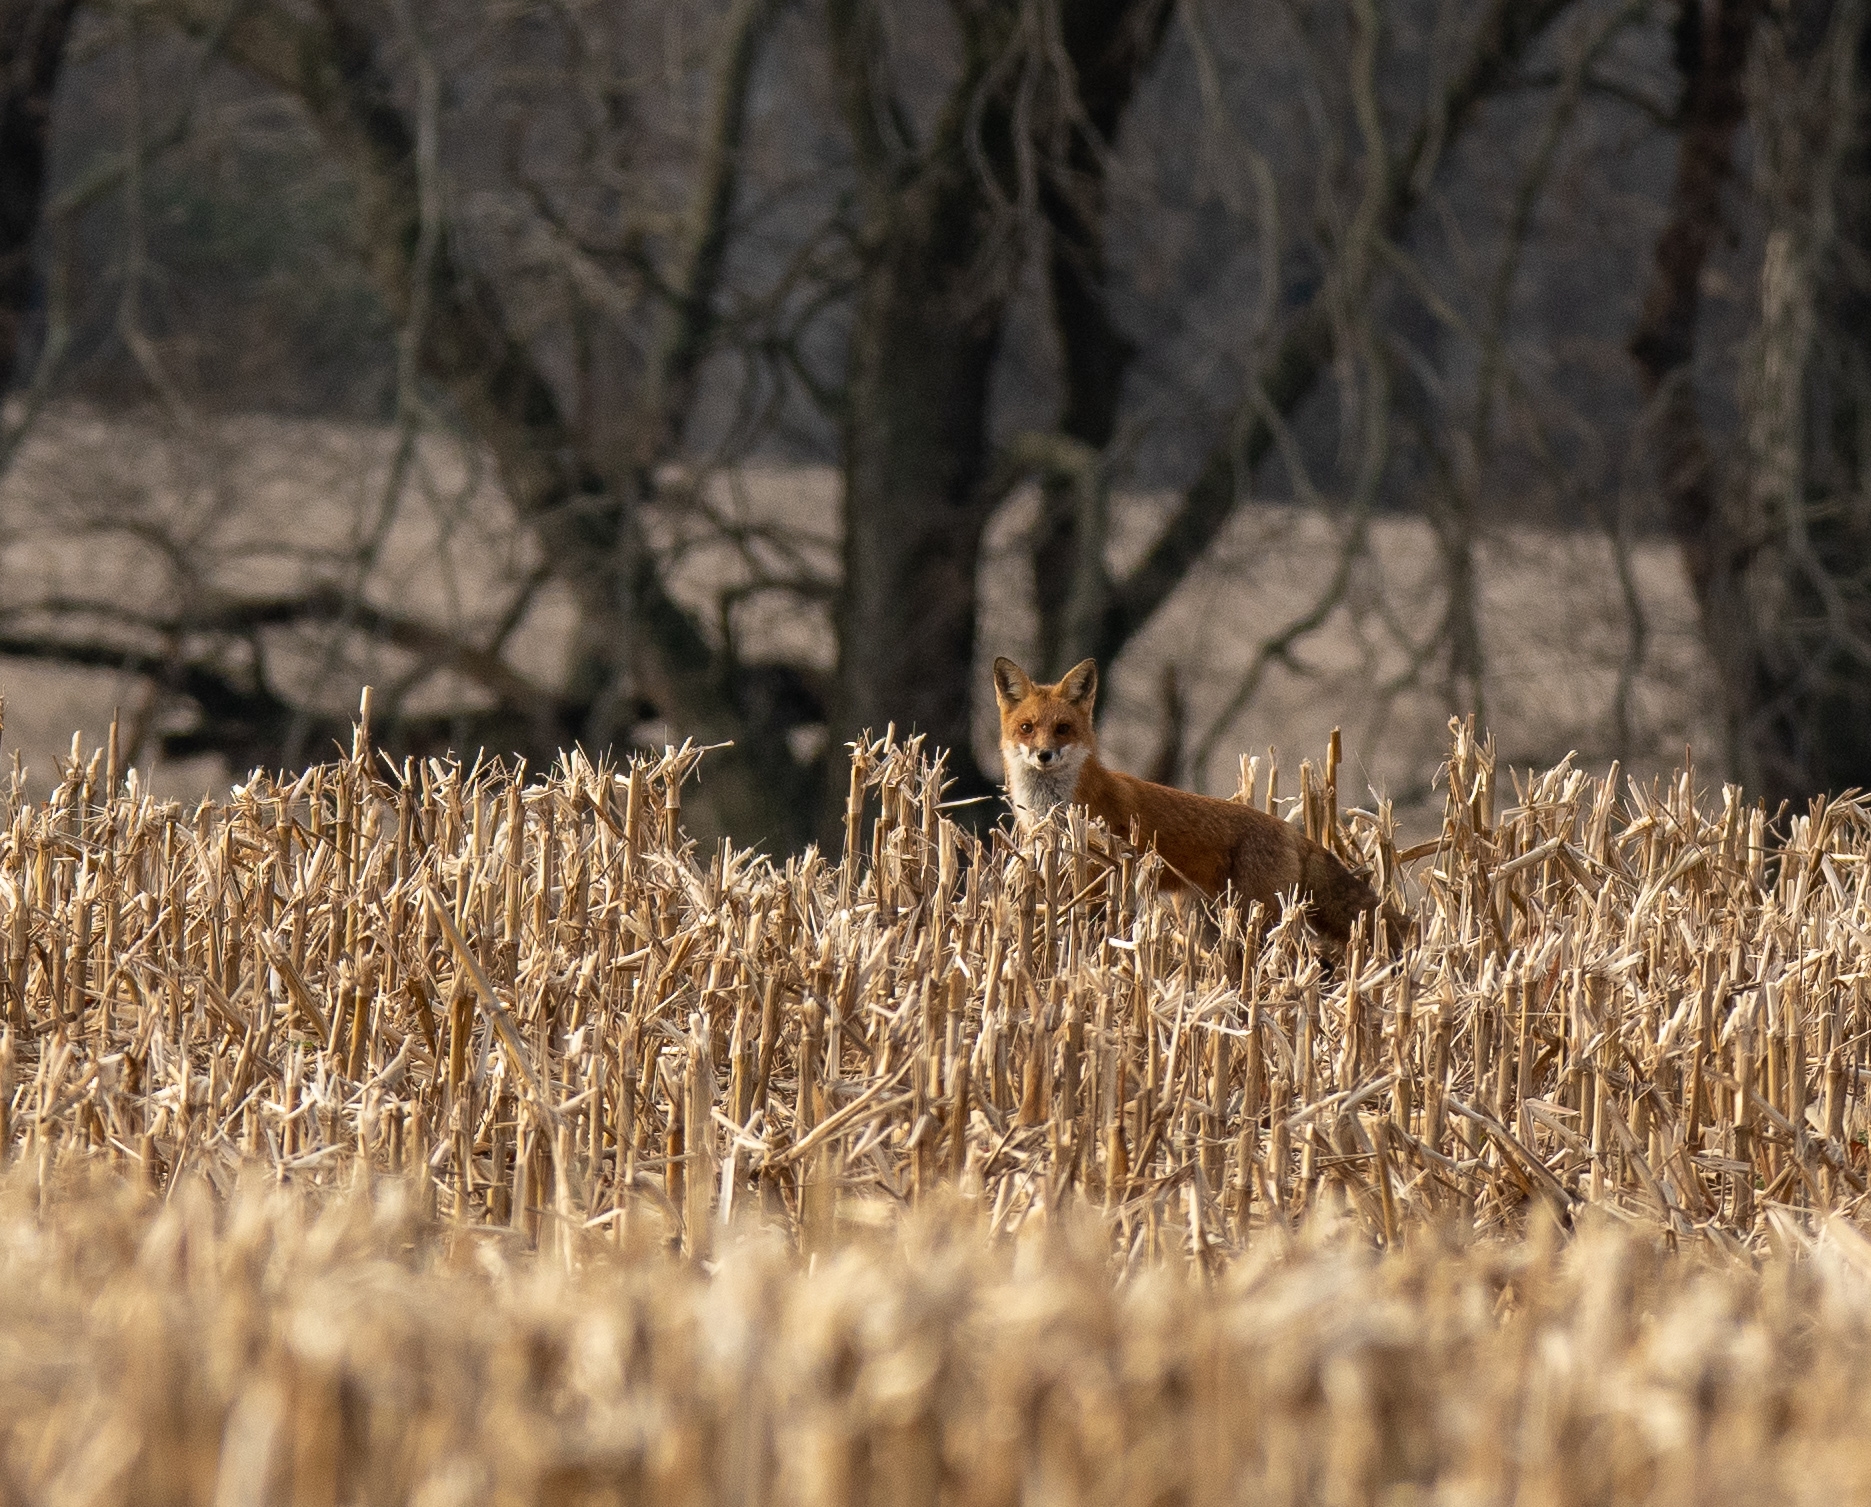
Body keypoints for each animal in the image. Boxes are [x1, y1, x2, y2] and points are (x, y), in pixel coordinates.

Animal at [995, 651, 1392, 947]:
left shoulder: (1099, 873)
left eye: (1062, 728)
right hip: (1206, 925)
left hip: (1257, 918)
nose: (1044, 755)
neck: (1053, 807)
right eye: (1027, 728)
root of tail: (1291, 830)